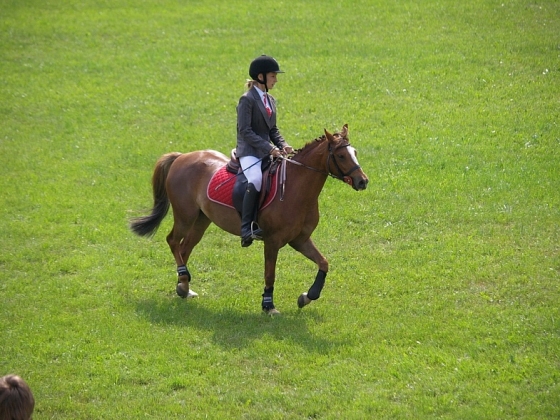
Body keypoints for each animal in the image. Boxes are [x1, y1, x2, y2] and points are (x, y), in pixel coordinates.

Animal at [130, 123, 370, 314]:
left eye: (355, 152)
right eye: (341, 156)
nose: (363, 181)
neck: (296, 189)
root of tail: (181, 157)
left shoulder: (299, 239)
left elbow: (324, 262)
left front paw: (306, 296)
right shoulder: (272, 241)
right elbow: (270, 274)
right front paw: (268, 306)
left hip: (201, 220)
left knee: (185, 248)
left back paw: (183, 286)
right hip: (185, 216)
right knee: (173, 241)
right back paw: (183, 280)